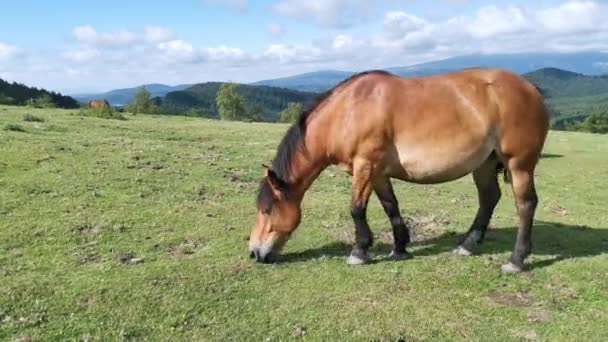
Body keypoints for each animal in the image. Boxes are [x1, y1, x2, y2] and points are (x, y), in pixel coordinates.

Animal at [249, 68, 548, 274]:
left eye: (267, 209)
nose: (254, 252)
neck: (347, 112)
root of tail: (530, 87)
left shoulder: (365, 166)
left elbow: (357, 209)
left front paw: (359, 252)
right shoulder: (378, 173)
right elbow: (391, 206)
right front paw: (400, 247)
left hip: (519, 164)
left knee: (526, 204)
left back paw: (517, 260)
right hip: (485, 164)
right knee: (489, 199)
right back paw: (467, 245)